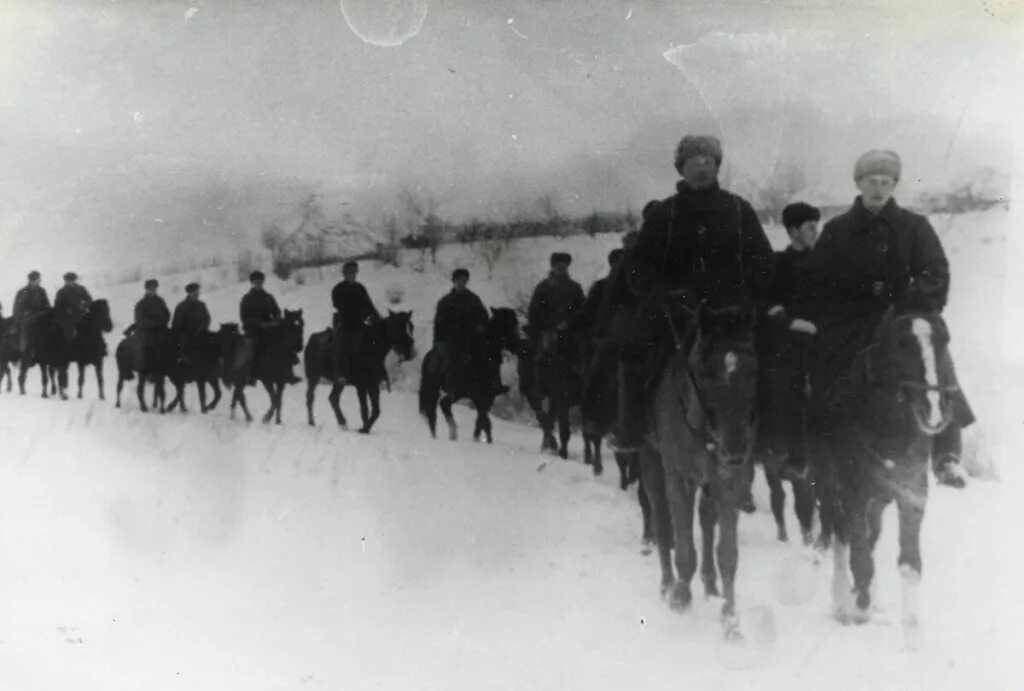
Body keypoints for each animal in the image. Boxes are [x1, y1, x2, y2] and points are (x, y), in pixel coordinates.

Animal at [419, 309, 520, 444]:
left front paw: (477, 439)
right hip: (455, 392)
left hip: (437, 389)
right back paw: (453, 433)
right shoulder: (485, 397)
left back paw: (443, 436)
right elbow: (484, 421)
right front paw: (486, 441)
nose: (515, 345)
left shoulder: (480, 398)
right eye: (509, 325)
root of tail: (438, 354)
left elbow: (481, 421)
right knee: (444, 405)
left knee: (434, 414)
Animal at [520, 327, 585, 462]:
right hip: (536, 398)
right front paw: (563, 454)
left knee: (547, 419)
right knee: (543, 419)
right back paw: (551, 446)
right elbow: (563, 430)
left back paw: (548, 445)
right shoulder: (562, 400)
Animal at [638, 305, 761, 642]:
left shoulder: (728, 481)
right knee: (661, 519)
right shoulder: (679, 478)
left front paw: (731, 621)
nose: (735, 451)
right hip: (653, 465)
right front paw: (680, 598)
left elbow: (728, 555)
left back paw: (709, 584)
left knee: (706, 520)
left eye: (753, 371)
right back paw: (668, 585)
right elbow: (682, 547)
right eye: (705, 377)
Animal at [806, 311, 958, 651]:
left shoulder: (911, 494)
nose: (934, 410)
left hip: (877, 500)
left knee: (870, 536)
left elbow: (910, 565)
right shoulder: (852, 494)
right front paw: (858, 610)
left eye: (944, 342)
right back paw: (843, 602)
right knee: (842, 537)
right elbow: (859, 558)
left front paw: (912, 638)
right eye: (901, 345)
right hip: (829, 485)